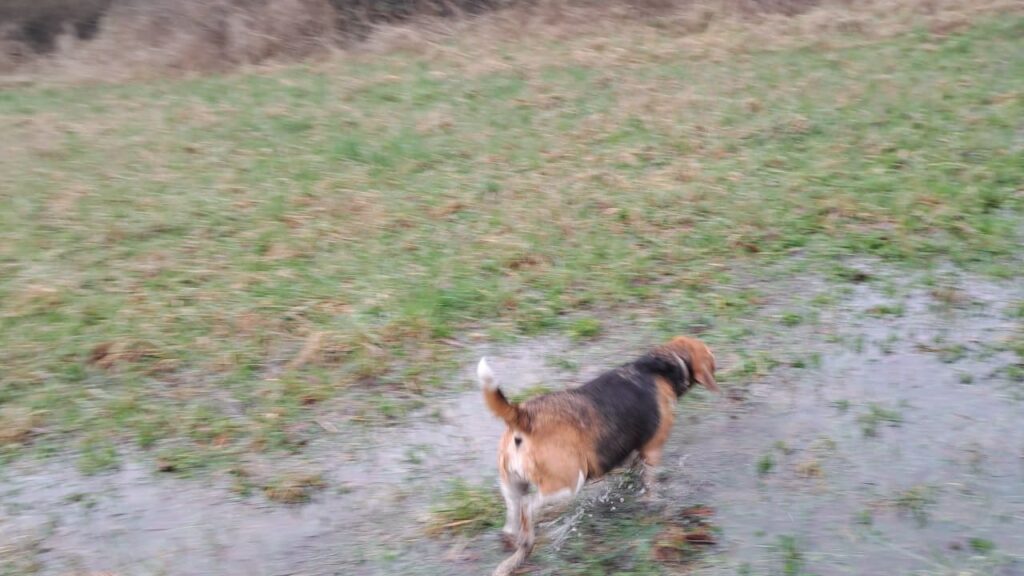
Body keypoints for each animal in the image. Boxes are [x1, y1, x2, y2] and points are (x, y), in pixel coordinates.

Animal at [475, 334, 716, 569]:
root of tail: (525, 416)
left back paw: (515, 544)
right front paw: (654, 502)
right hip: (568, 484)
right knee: (528, 507)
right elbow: (651, 484)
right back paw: (527, 540)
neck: (659, 366)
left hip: (512, 485)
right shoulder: (652, 450)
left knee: (513, 516)